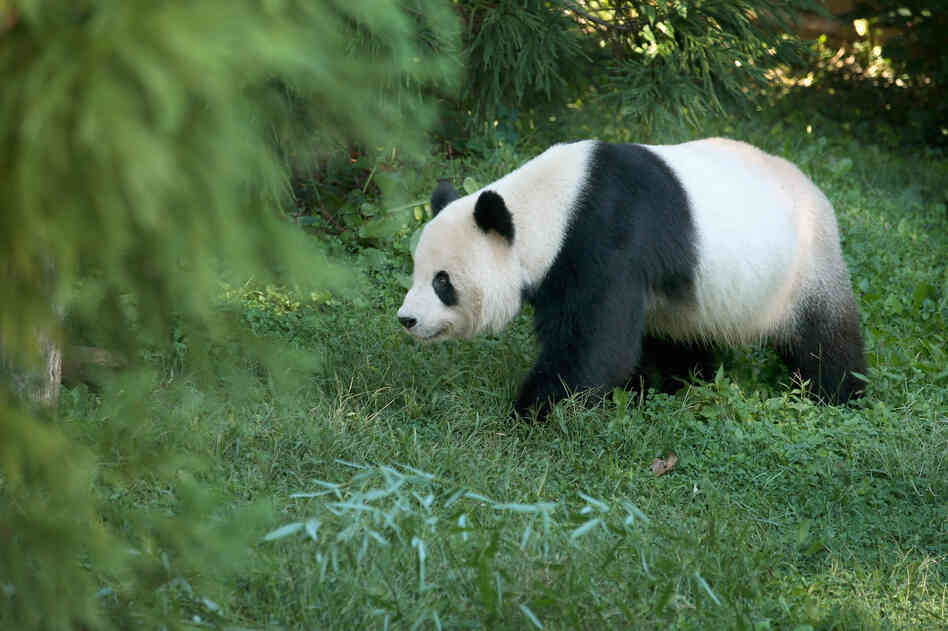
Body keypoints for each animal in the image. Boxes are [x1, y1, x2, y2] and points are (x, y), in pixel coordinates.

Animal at [397, 138, 866, 420]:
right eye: (417, 271)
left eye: (443, 282)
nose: (407, 319)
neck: (552, 205)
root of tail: (819, 194)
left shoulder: (607, 240)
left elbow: (595, 344)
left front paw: (532, 409)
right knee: (683, 337)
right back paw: (672, 386)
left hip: (802, 271)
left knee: (824, 341)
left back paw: (840, 397)